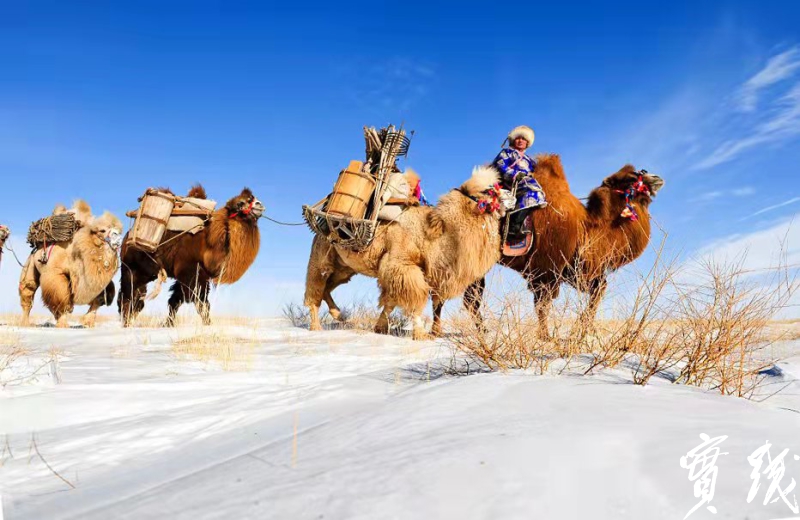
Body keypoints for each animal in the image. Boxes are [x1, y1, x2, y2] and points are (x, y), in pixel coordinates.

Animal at [118, 186, 263, 327]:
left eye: (253, 198)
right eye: (241, 203)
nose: (260, 205)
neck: (210, 245)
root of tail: (126, 237)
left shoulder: (197, 275)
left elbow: (175, 301)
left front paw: (168, 324)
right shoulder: (189, 271)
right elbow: (201, 303)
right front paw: (208, 324)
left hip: (145, 272)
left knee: (137, 296)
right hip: (130, 268)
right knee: (128, 294)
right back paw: (126, 322)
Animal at [304, 166, 513, 340]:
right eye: (488, 190)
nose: (511, 194)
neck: (430, 234)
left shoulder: (401, 271)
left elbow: (390, 301)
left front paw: (380, 328)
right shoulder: (400, 265)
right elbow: (414, 298)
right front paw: (420, 334)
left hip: (344, 268)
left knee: (327, 288)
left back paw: (338, 314)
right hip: (320, 259)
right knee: (315, 290)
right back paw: (316, 327)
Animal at [459, 154, 664, 338]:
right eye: (631, 178)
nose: (657, 178)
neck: (586, 229)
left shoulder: (573, 269)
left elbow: (598, 289)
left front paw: (583, 330)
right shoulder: (547, 270)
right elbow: (542, 305)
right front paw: (547, 337)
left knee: (471, 298)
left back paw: (483, 331)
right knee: (470, 297)